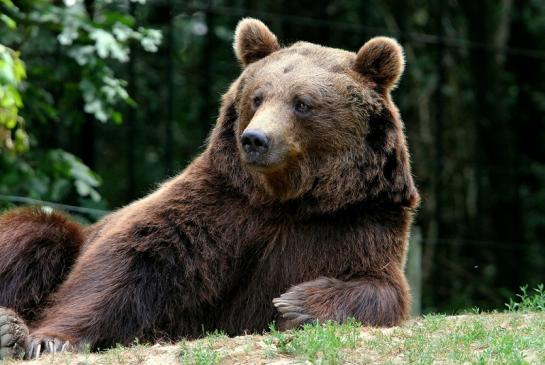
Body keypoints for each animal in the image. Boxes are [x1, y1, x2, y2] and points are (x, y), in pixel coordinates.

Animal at [0, 17, 418, 358]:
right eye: (258, 97)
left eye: (302, 103)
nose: (255, 139)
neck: (286, 198)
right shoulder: (218, 204)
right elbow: (125, 264)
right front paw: (49, 339)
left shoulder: (356, 220)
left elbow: (380, 287)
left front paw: (296, 303)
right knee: (38, 232)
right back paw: (9, 327)